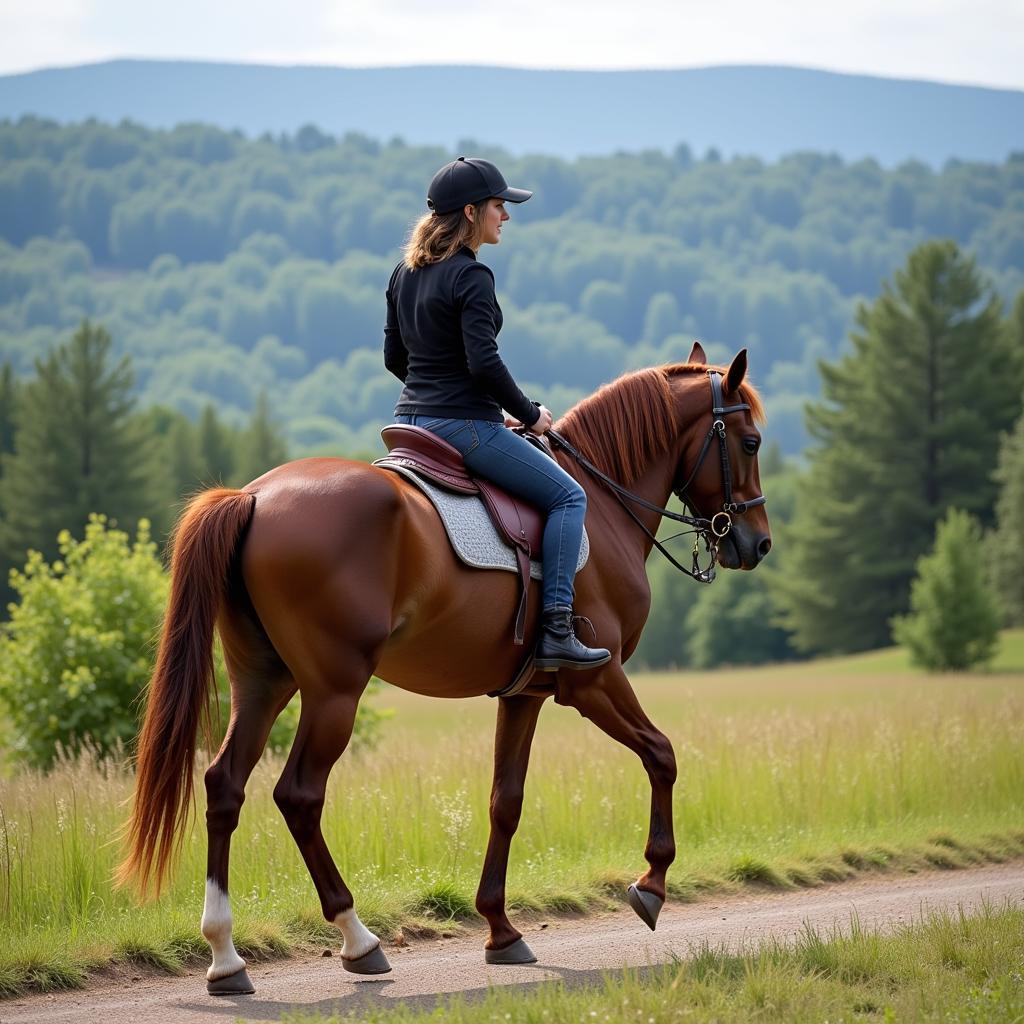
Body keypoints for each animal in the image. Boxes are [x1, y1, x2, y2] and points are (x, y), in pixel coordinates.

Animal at [116, 342, 770, 991]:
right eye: (750, 442)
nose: (758, 543)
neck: (602, 503)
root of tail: (252, 497)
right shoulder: (593, 681)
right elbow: (662, 756)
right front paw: (652, 884)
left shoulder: (524, 696)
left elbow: (505, 802)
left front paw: (501, 930)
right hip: (334, 691)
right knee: (298, 795)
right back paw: (358, 939)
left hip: (263, 683)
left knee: (224, 786)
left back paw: (225, 955)